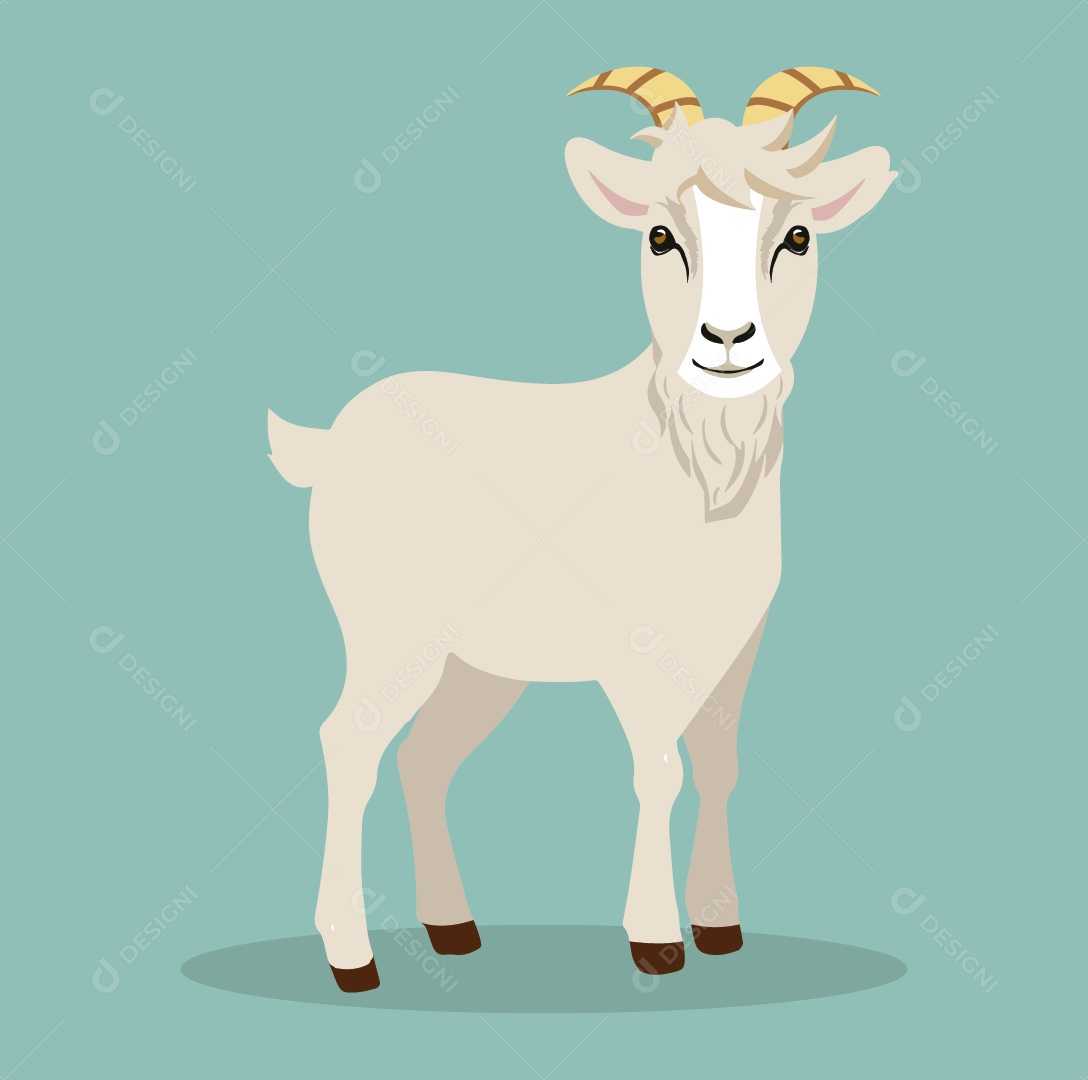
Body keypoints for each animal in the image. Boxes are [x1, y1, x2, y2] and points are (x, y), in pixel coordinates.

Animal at [268, 66, 895, 991]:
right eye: (660, 235)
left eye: (799, 236)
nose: (728, 340)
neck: (693, 469)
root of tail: (330, 443)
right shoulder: (640, 659)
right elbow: (658, 772)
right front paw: (656, 942)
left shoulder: (734, 652)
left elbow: (719, 768)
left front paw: (722, 928)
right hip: (388, 633)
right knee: (350, 743)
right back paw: (352, 957)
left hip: (477, 665)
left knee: (425, 758)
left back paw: (453, 929)